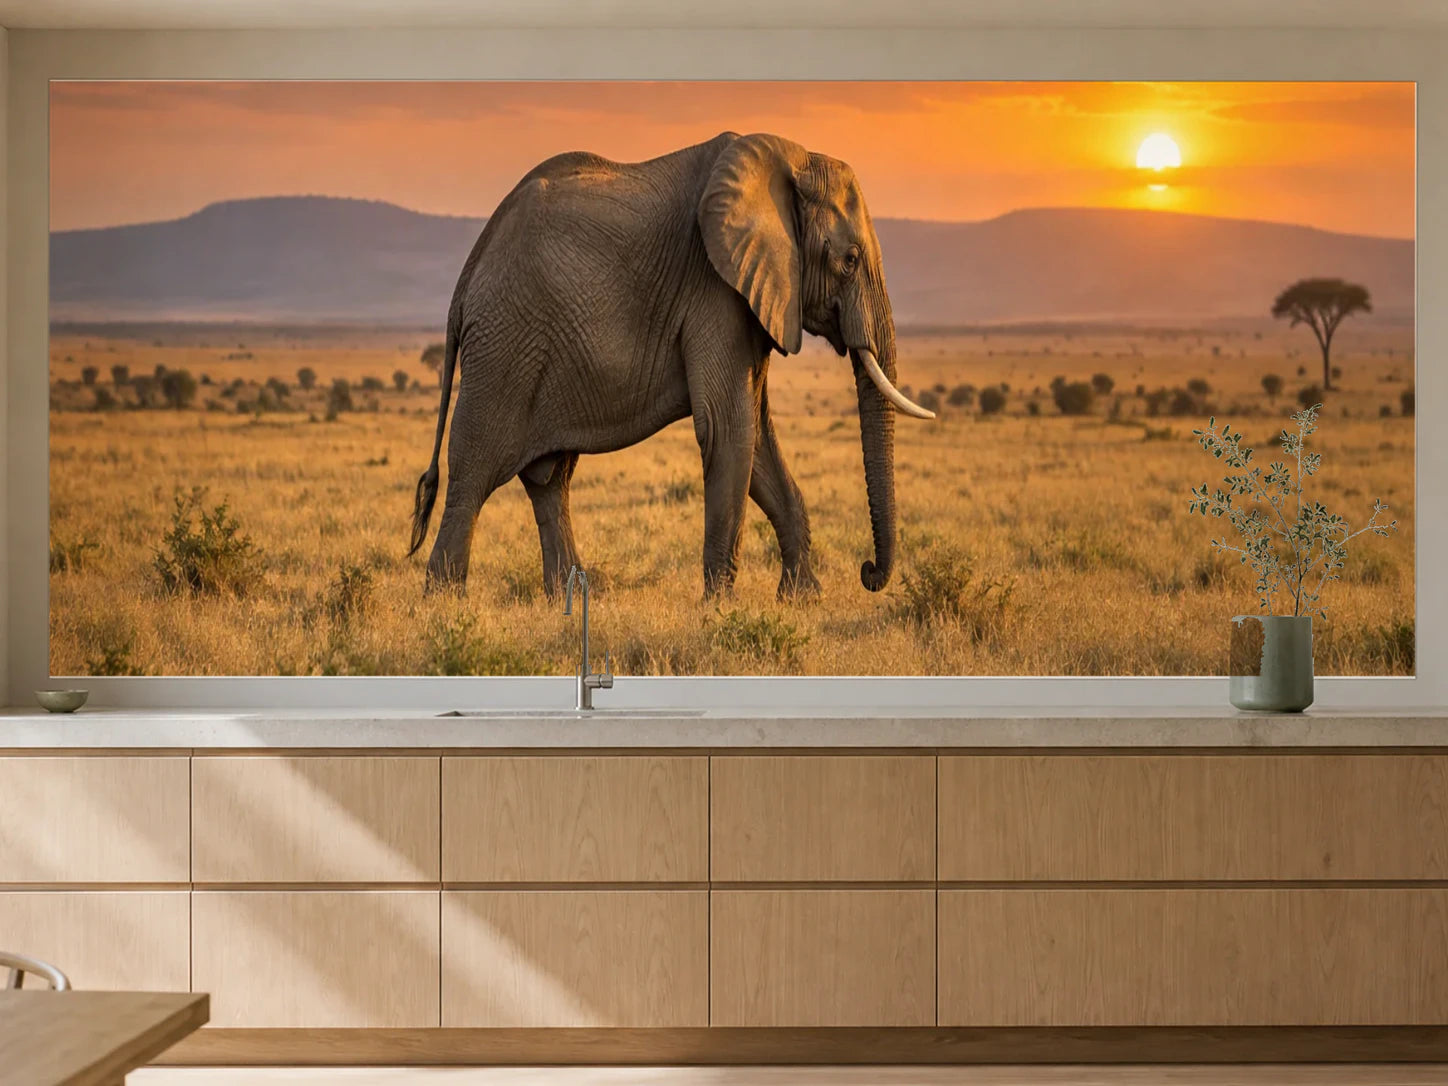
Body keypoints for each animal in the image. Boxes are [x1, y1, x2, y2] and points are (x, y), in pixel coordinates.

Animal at [408, 131, 935, 600]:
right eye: (849, 260)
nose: (868, 572)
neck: (793, 157)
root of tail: (468, 273)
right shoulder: (715, 289)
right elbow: (729, 429)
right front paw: (720, 608)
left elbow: (756, 436)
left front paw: (802, 600)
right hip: (504, 344)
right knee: (473, 474)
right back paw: (445, 602)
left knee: (549, 480)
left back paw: (567, 598)